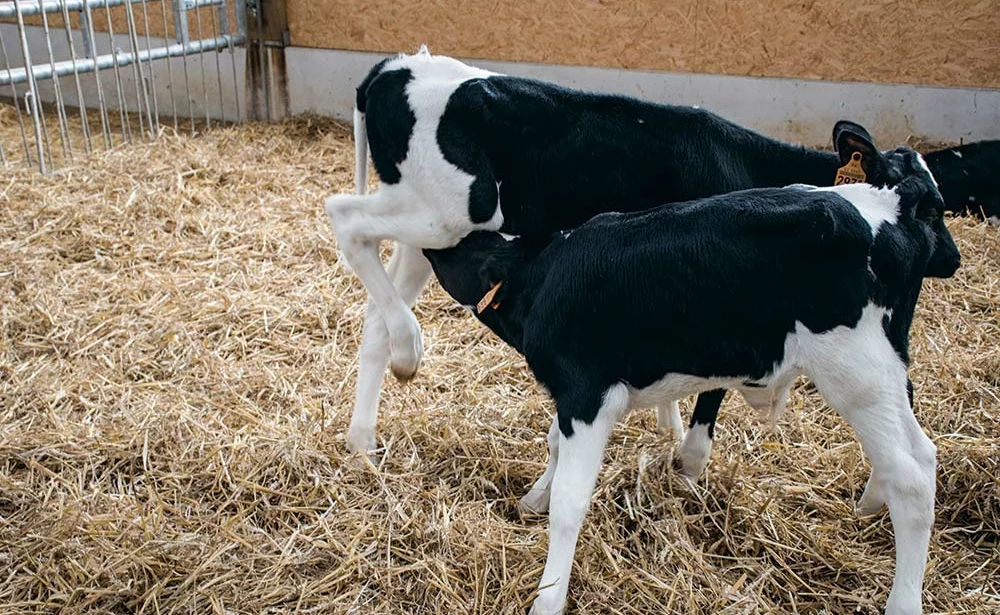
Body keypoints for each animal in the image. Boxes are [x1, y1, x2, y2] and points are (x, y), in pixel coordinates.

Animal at [322, 47, 984, 458]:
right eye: (927, 208)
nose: (951, 258)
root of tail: (396, 65)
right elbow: (713, 387)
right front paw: (687, 456)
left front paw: (663, 426)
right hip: (451, 209)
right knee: (344, 216)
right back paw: (408, 350)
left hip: (433, 230)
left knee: (377, 315)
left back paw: (366, 432)